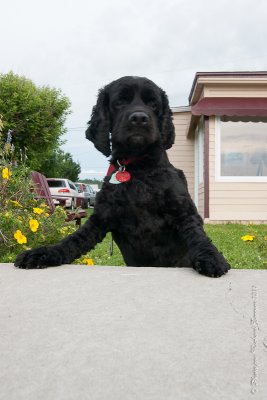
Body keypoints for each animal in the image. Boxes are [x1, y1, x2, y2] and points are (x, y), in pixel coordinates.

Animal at [15, 76, 232, 276]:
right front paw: (43, 253)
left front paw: (211, 257)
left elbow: (199, 237)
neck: (138, 167)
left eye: (153, 104)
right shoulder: (99, 219)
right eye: (120, 101)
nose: (139, 118)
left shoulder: (184, 211)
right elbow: (72, 241)